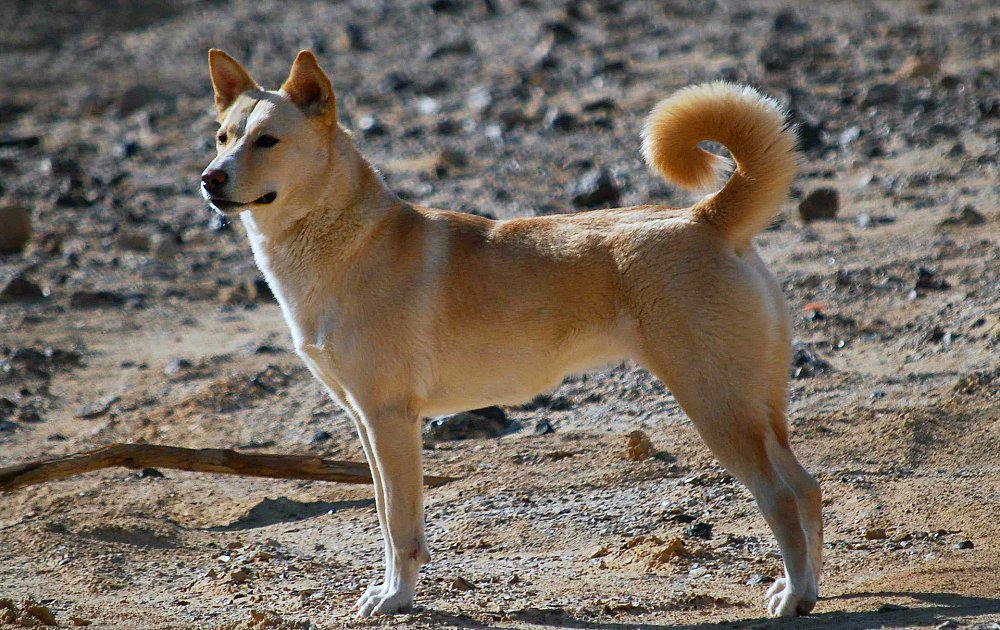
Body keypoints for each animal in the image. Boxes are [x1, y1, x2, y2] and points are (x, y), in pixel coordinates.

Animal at [201, 49, 820, 624]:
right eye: (223, 137)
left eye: (268, 141)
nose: (210, 179)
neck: (340, 241)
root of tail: (705, 217)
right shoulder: (366, 421)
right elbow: (383, 515)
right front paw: (388, 590)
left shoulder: (390, 419)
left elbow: (401, 527)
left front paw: (397, 598)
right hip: (757, 408)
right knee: (808, 489)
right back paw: (806, 589)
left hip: (717, 405)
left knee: (781, 499)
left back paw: (793, 597)